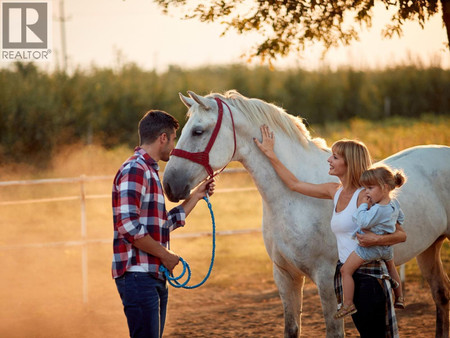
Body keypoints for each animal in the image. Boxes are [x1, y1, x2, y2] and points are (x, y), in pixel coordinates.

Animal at [163, 90, 450, 338]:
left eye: (198, 131)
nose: (169, 185)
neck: (294, 200)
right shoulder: (285, 276)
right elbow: (291, 328)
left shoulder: (327, 279)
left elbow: (334, 331)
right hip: (429, 248)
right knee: (441, 295)